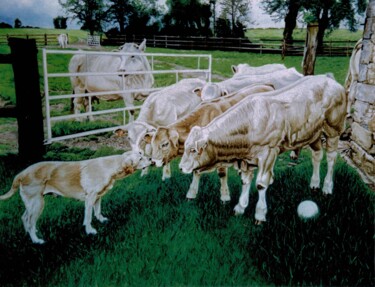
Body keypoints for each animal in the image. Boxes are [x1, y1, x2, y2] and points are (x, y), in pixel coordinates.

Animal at [1, 152, 151, 244]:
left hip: (31, 204)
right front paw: (90, 231)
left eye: (142, 154)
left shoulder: (98, 197)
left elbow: (97, 211)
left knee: (25, 218)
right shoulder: (90, 198)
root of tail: (21, 174)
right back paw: (36, 240)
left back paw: (30, 235)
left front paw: (102, 220)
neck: (112, 166)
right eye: (140, 158)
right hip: (37, 203)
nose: (150, 159)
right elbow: (88, 217)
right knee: (30, 222)